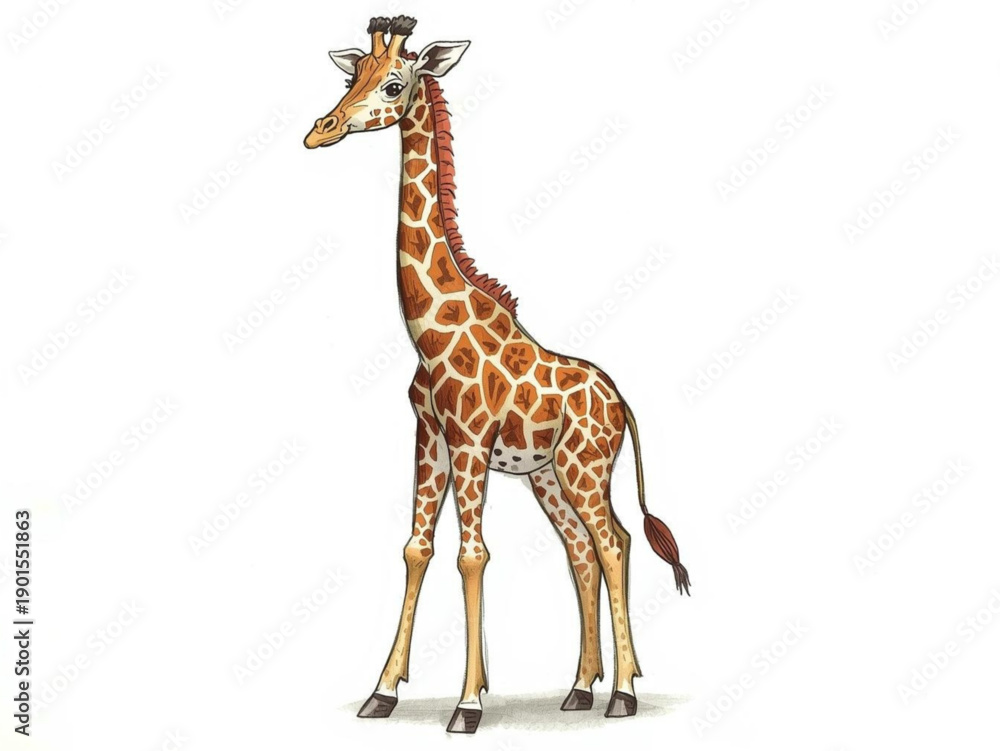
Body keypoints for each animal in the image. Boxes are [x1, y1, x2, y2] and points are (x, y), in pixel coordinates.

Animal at [304, 16, 691, 734]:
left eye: (393, 83)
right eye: (351, 78)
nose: (321, 129)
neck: (428, 331)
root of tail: (621, 401)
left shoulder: (469, 439)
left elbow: (472, 555)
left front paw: (468, 702)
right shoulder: (430, 436)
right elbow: (417, 548)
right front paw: (383, 691)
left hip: (584, 468)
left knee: (615, 541)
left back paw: (623, 693)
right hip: (548, 476)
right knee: (581, 550)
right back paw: (580, 687)